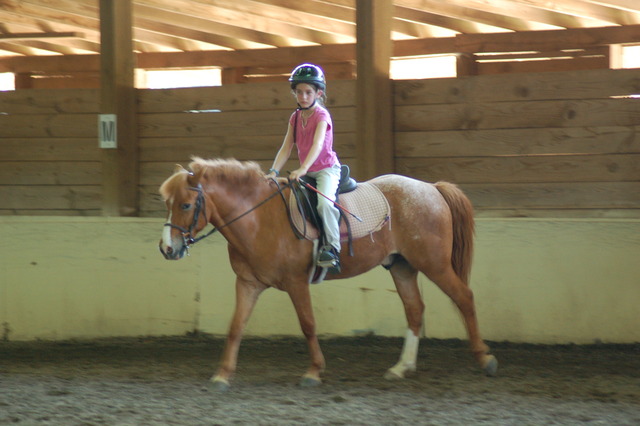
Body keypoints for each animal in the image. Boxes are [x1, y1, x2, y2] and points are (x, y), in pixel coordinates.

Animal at [159, 157, 498, 391]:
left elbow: (308, 325)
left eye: (186, 205)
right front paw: (222, 375)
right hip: (402, 266)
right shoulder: (248, 284)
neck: (259, 218)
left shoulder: (296, 282)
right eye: (168, 203)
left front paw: (313, 371)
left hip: (434, 265)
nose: (167, 248)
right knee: (415, 310)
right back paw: (402, 367)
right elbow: (235, 327)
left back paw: (484, 358)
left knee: (464, 297)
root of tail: (431, 188)